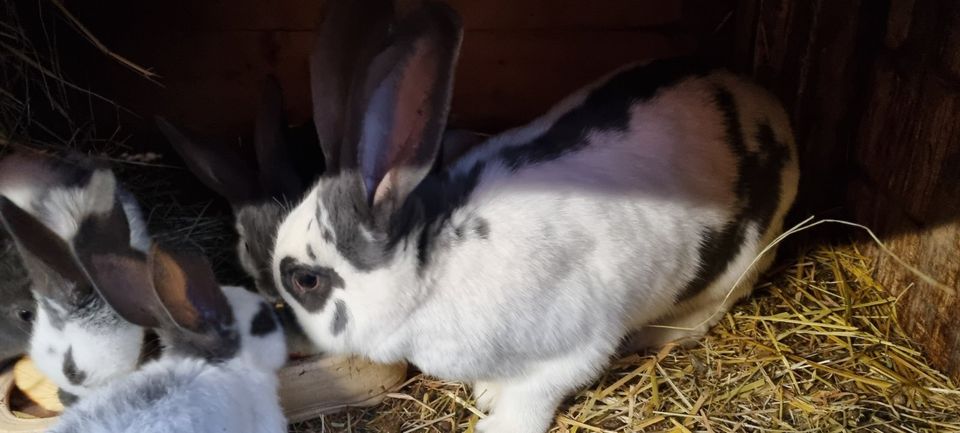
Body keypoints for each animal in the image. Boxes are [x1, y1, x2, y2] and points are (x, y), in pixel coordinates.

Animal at [268, 0, 796, 432]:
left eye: (305, 280)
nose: (283, 332)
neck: (431, 275)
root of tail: (768, 108)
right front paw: (486, 392)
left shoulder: (574, 350)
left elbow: (534, 396)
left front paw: (496, 423)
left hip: (740, 264)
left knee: (710, 310)